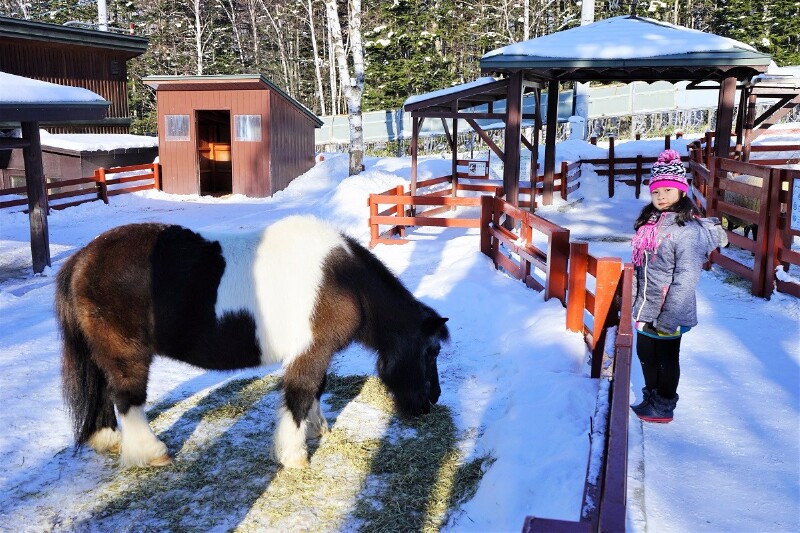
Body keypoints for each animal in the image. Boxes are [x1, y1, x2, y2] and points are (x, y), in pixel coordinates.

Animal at [56, 215, 449, 469]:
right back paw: (152, 453)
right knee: (127, 400)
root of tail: (83, 258)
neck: (343, 280)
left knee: (105, 393)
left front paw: (315, 430)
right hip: (127, 354)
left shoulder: (315, 353)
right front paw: (294, 456)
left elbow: (316, 390)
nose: (432, 400)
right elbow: (301, 394)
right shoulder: (310, 353)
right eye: (432, 351)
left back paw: (108, 439)